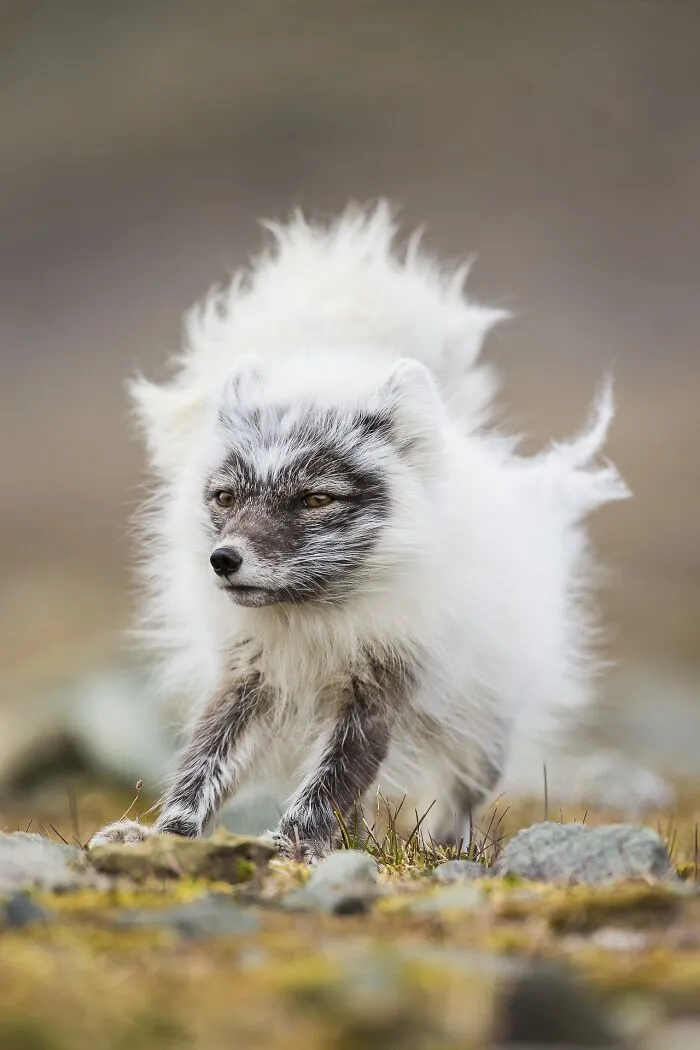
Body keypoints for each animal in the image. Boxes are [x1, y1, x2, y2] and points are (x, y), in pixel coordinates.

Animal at [89, 203, 667, 860]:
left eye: (317, 498)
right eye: (226, 497)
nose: (223, 559)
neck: (315, 623)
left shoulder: (378, 691)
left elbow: (330, 783)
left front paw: (289, 847)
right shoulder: (248, 679)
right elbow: (202, 764)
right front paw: (163, 836)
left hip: (480, 727)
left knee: (459, 791)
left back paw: (446, 850)